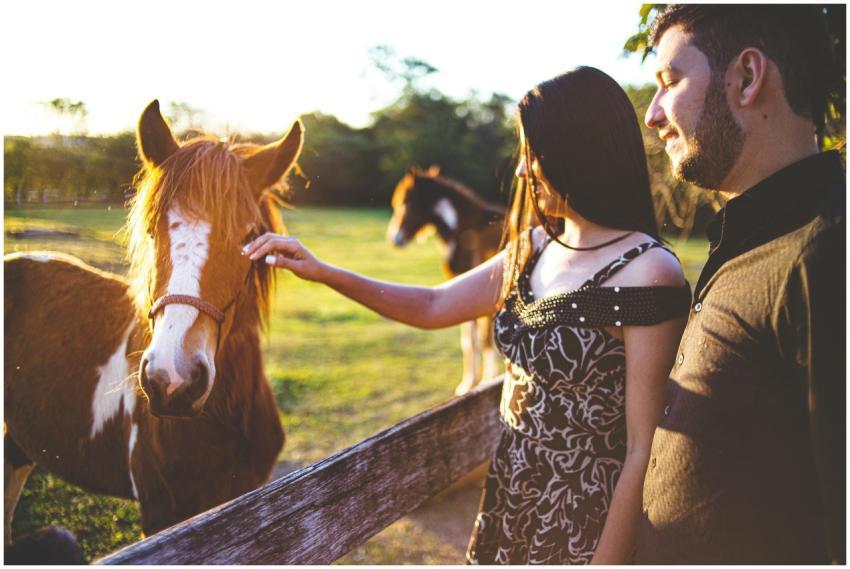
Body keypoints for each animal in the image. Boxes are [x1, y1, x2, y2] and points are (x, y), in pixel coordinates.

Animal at [386, 166, 505, 395]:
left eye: (404, 202)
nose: (394, 238)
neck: (463, 229)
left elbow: (478, 340)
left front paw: (478, 382)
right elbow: (472, 341)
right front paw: (472, 382)